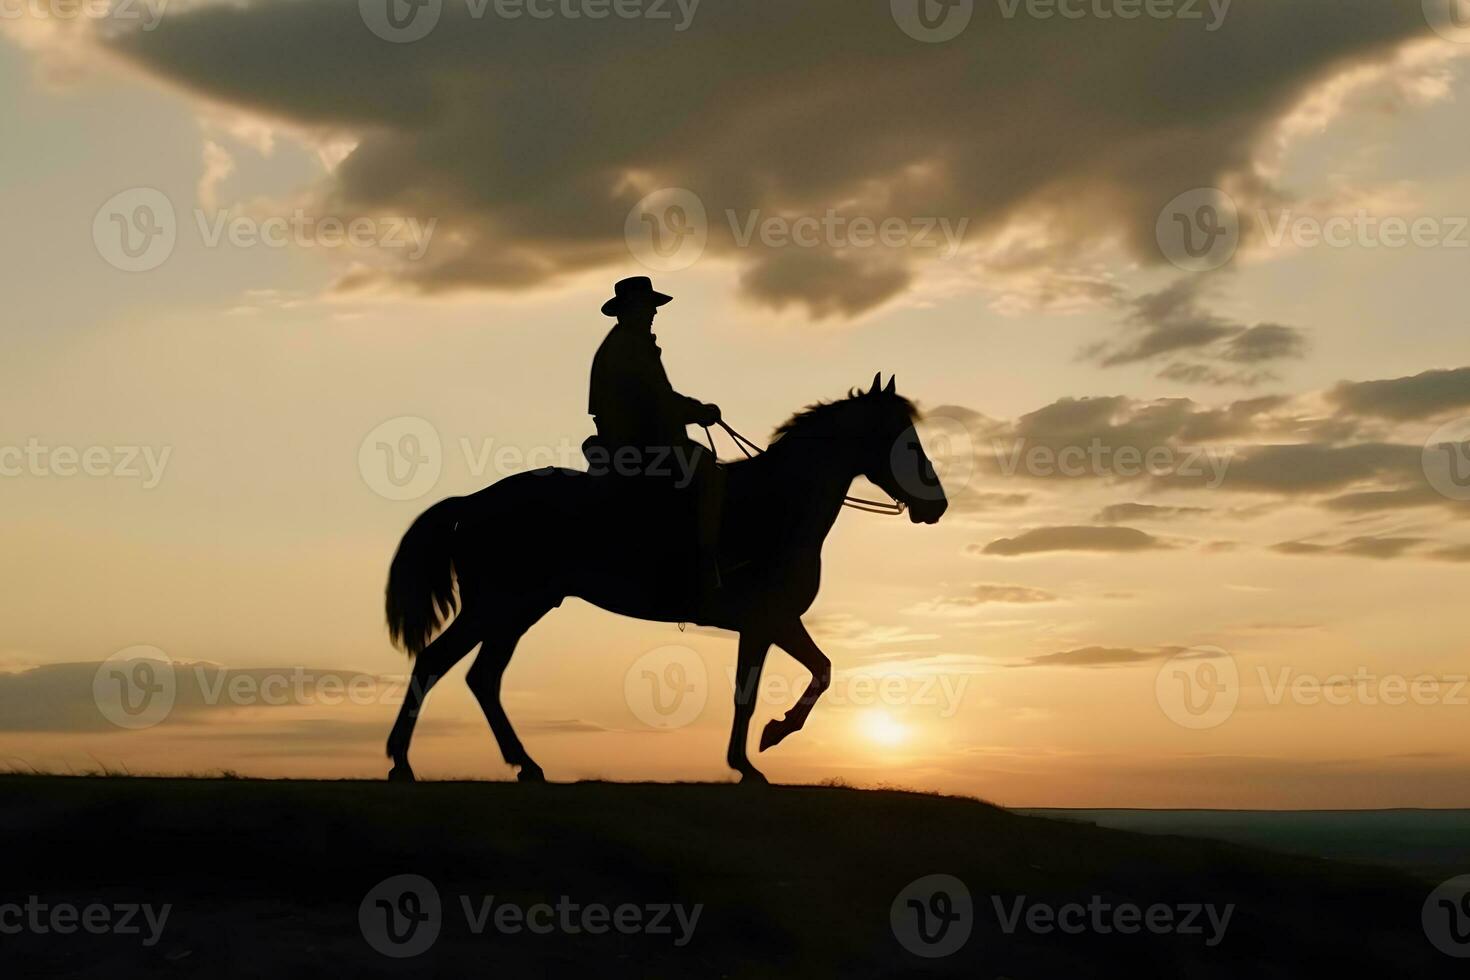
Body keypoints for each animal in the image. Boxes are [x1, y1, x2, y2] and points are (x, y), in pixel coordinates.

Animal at [385, 376, 946, 781]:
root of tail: (473, 501)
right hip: (500, 606)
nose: (936, 505)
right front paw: (765, 745)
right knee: (439, 664)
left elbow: (790, 679)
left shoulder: (766, 626)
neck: (779, 505)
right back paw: (405, 763)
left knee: (478, 677)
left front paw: (753, 753)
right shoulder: (771, 621)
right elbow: (789, 682)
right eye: (904, 441)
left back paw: (522, 764)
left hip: (517, 610)